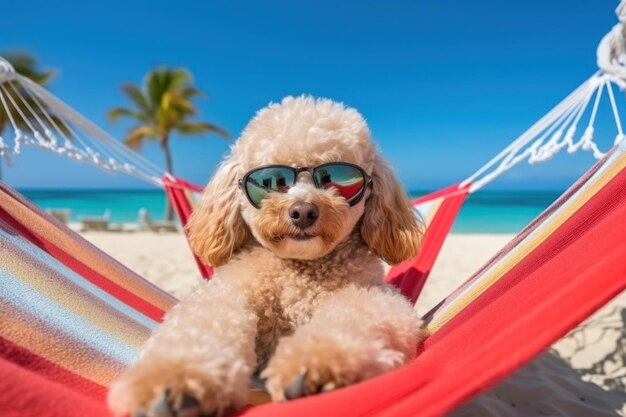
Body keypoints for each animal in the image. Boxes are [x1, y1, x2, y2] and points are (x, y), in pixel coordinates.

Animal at [109, 96, 426, 416]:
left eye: (332, 178)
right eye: (273, 180)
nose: (303, 211)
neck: (298, 271)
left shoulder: (375, 297)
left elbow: (351, 318)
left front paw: (318, 363)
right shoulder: (226, 292)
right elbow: (202, 325)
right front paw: (174, 381)